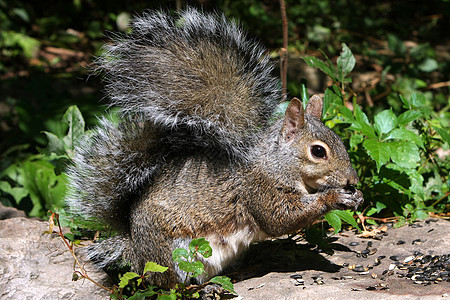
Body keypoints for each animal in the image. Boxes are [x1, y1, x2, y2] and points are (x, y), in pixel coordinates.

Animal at [66, 7, 362, 288]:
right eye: (318, 152)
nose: (353, 181)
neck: (276, 161)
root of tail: (135, 250)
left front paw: (355, 197)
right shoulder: (259, 190)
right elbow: (281, 219)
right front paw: (334, 197)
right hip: (176, 254)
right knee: (171, 284)